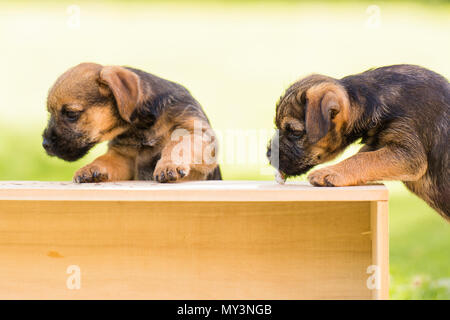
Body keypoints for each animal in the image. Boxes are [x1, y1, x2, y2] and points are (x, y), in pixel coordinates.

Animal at [42, 63, 221, 182]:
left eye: (71, 113)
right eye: (50, 113)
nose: (45, 144)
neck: (142, 125)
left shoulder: (197, 132)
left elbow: (179, 144)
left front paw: (168, 165)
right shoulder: (123, 157)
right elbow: (104, 160)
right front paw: (90, 168)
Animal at [268, 65, 448, 220]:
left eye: (295, 132)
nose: (269, 154)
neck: (371, 99)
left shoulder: (409, 151)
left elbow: (363, 159)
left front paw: (329, 173)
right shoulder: (377, 143)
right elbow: (365, 156)